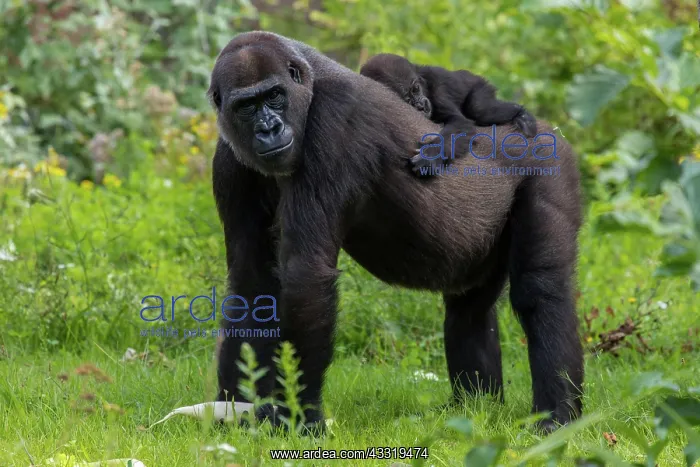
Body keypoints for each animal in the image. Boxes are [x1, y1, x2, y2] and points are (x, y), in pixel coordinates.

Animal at [360, 53, 538, 177]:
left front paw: (431, 155)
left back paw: (521, 114)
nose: (421, 106)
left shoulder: (438, 90)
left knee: (479, 109)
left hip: (480, 84)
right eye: (407, 100)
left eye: (415, 89)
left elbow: (460, 123)